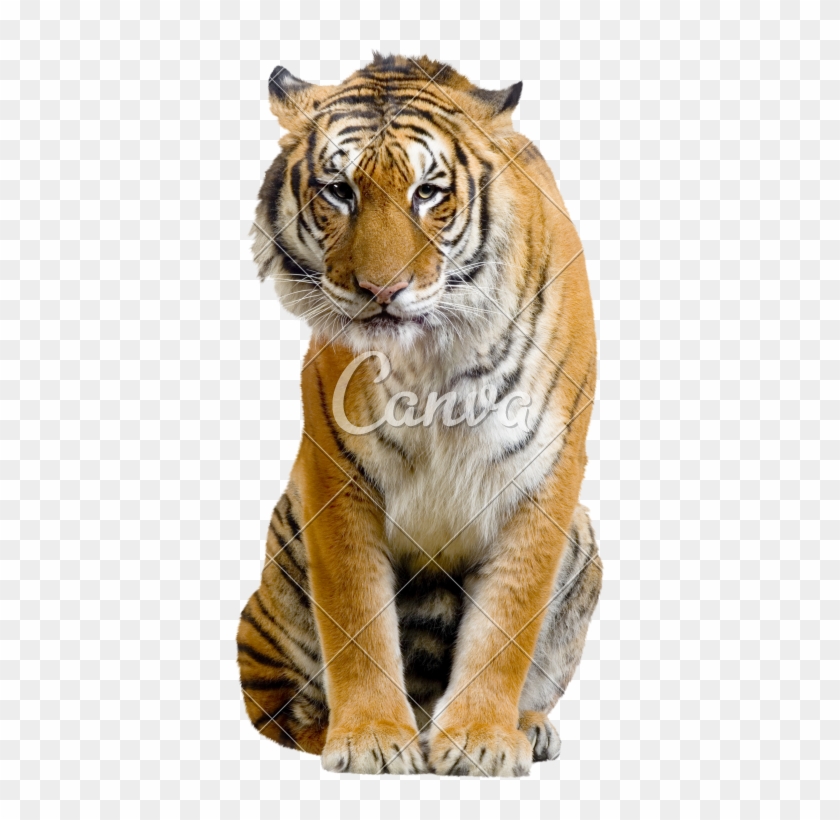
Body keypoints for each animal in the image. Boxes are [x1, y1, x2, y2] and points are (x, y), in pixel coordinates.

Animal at [238, 54, 602, 777]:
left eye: (428, 193)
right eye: (339, 190)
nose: (382, 291)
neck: (434, 359)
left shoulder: (545, 479)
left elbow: (507, 622)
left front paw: (483, 741)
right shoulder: (336, 474)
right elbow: (356, 617)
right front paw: (373, 739)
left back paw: (529, 727)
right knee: (277, 707)